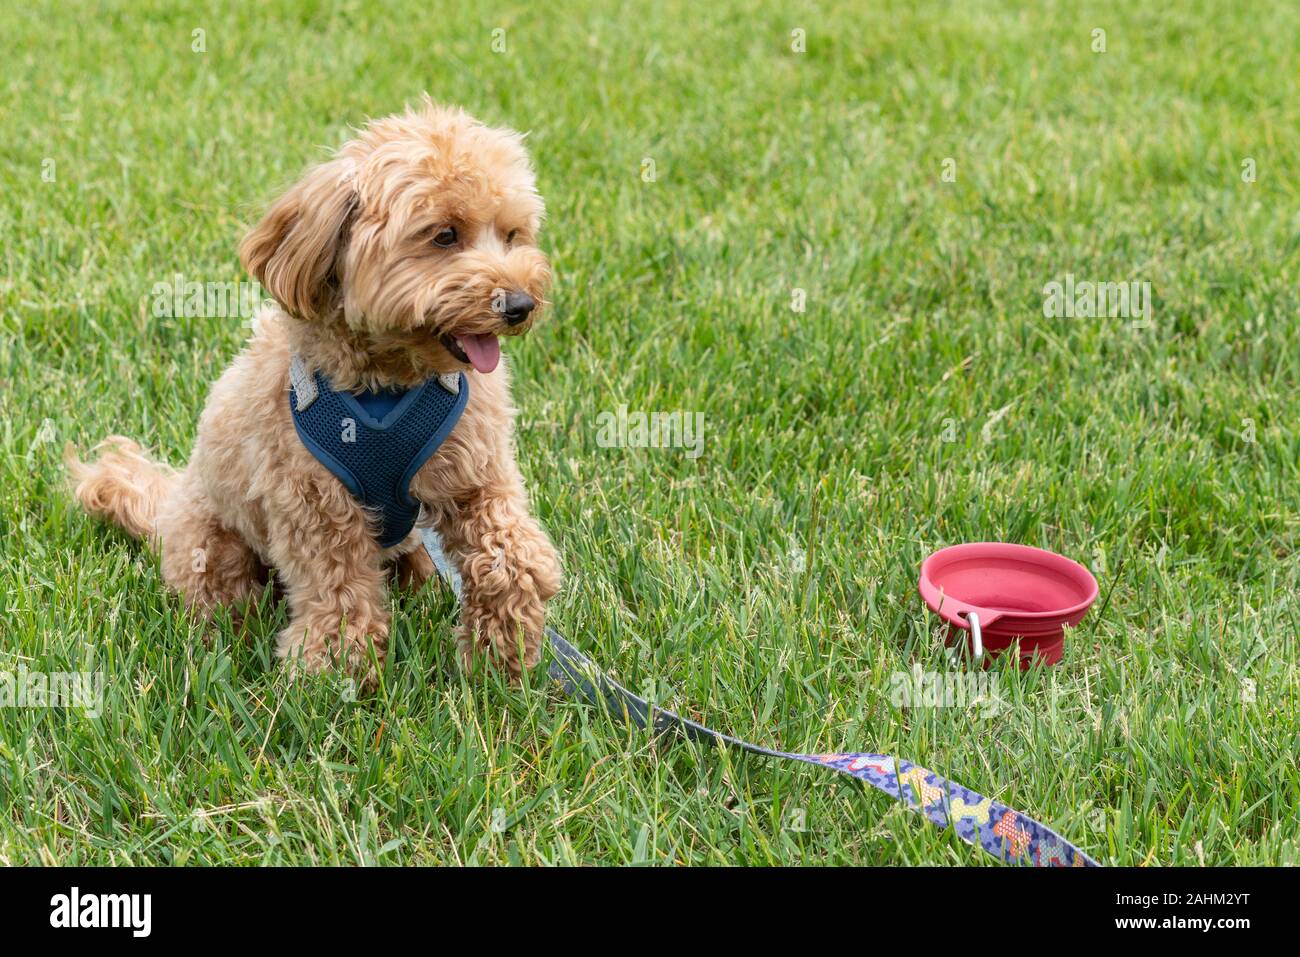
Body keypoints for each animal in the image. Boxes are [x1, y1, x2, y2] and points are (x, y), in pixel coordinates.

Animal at [65, 98, 561, 686]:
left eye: (512, 234)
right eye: (444, 235)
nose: (520, 304)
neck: (386, 385)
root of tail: (167, 507)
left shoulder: (475, 473)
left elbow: (514, 555)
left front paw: (500, 654)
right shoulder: (313, 503)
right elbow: (337, 586)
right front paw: (333, 670)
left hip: (412, 543)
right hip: (213, 543)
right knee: (225, 598)